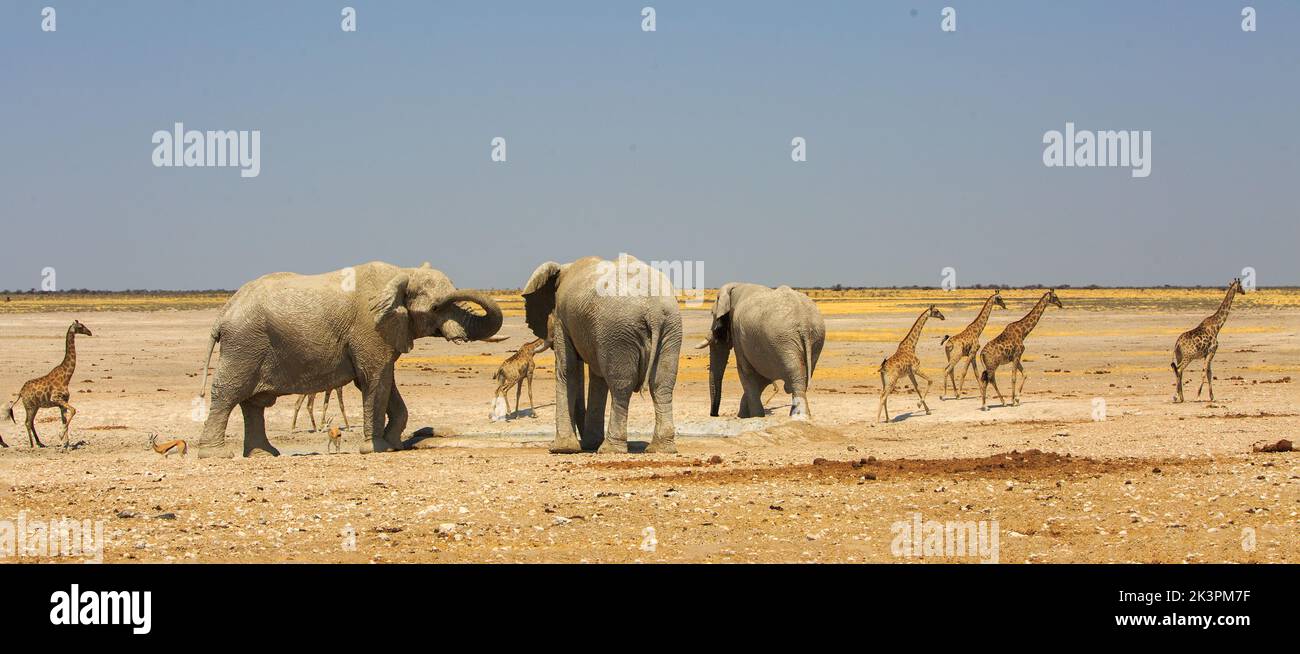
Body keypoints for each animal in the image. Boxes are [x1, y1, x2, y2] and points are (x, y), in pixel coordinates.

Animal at [3, 320, 93, 448]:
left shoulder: (62, 403)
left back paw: (40, 443)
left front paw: (66, 444)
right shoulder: (56, 398)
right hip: (30, 406)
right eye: (81, 326)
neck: (66, 378)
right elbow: (74, 410)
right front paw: (61, 436)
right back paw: (32, 445)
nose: (90, 332)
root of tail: (20, 392)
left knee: (30, 422)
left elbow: (65, 421)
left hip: (34, 406)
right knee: (27, 422)